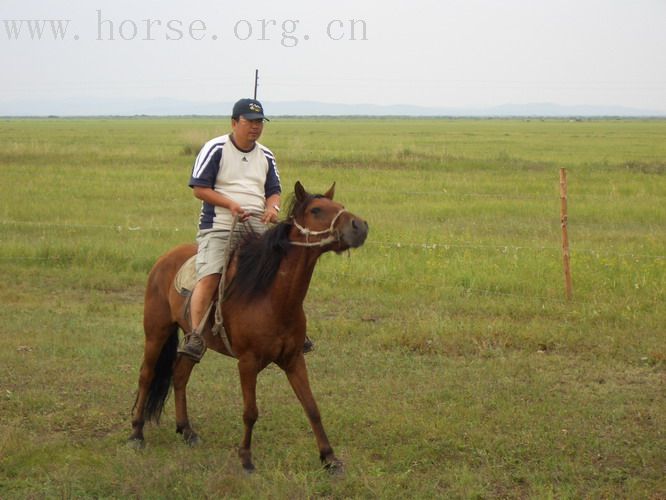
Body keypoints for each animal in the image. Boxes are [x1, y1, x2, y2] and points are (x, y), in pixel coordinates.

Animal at [128, 182, 368, 470]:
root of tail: (164, 259)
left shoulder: (294, 359)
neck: (272, 298)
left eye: (340, 206)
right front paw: (245, 458)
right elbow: (250, 412)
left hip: (194, 339)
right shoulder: (247, 362)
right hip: (156, 332)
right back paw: (136, 433)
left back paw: (186, 431)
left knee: (180, 374)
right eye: (316, 210)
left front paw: (329, 458)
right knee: (146, 375)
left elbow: (312, 407)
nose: (360, 226)